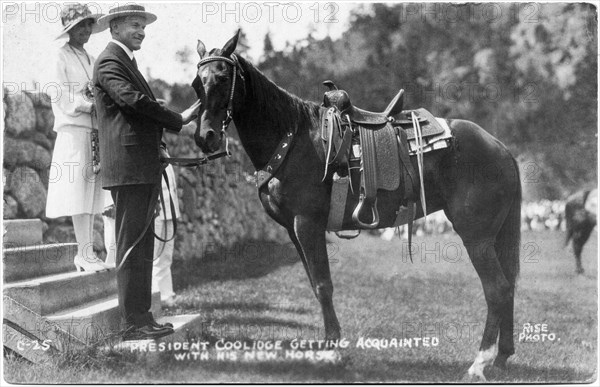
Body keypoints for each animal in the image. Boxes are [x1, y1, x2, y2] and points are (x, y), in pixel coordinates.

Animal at [191, 32, 520, 382]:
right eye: (197, 84)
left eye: (223, 79)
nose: (205, 136)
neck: (291, 138)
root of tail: (500, 148)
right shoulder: (293, 231)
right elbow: (314, 283)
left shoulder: (307, 224)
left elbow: (323, 285)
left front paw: (332, 349)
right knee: (509, 287)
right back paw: (501, 356)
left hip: (477, 237)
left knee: (497, 289)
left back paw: (479, 363)